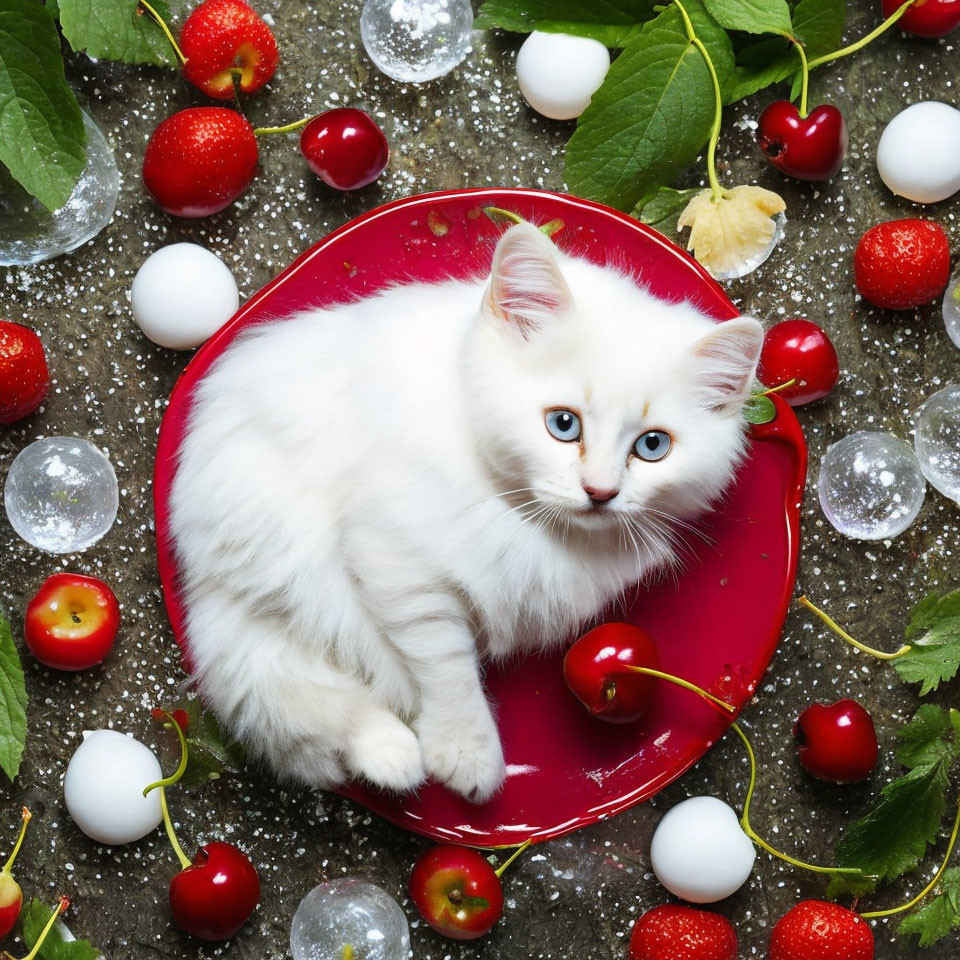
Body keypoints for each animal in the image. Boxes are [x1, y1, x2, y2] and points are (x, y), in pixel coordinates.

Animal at [169, 223, 760, 804]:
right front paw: (466, 753)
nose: (600, 492)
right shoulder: (396, 558)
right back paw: (398, 759)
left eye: (652, 446)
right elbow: (445, 663)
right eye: (563, 424)